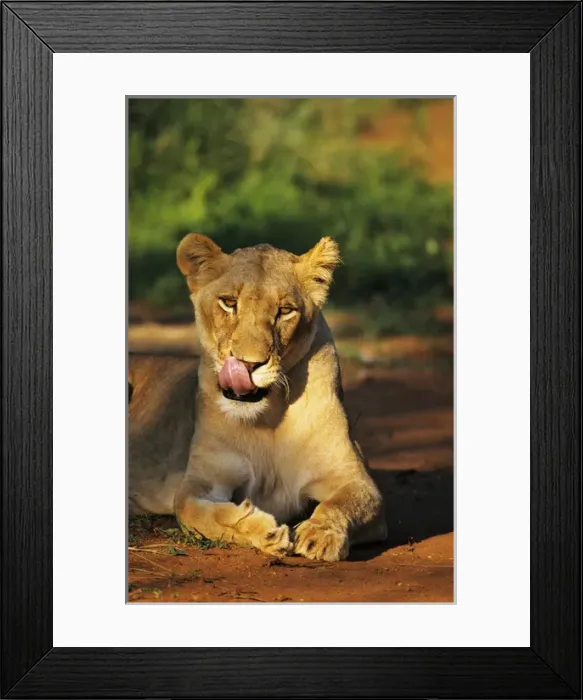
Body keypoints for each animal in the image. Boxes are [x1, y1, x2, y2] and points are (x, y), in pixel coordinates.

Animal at [128, 234, 387, 561]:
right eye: (228, 303)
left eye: (285, 310)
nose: (248, 365)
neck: (268, 418)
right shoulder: (200, 482)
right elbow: (198, 511)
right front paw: (263, 530)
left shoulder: (353, 478)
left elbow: (343, 505)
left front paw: (321, 534)